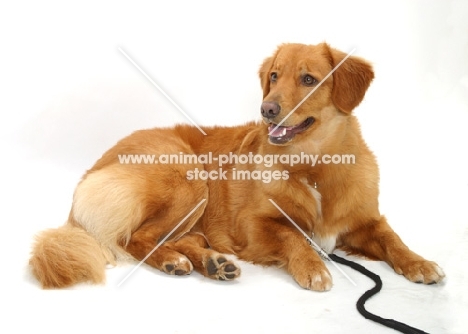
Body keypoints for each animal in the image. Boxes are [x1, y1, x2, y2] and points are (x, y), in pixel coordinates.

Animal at [30, 43, 446, 290]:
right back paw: (176, 262)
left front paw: (419, 263)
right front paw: (312, 266)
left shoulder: (366, 221)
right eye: (274, 76)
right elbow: (293, 235)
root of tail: (91, 173)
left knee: (178, 238)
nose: (267, 109)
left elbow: (392, 238)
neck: (313, 167)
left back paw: (211, 263)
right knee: (137, 239)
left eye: (309, 79)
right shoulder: (253, 226)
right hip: (188, 177)